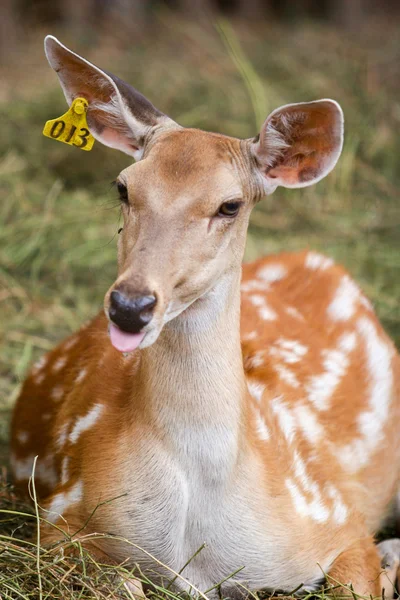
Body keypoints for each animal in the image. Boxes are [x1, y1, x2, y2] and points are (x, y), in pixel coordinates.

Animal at [8, 36, 400, 600]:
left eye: (230, 205)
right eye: (122, 186)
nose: (130, 306)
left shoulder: (336, 516)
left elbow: (353, 581)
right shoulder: (63, 519)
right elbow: (121, 584)